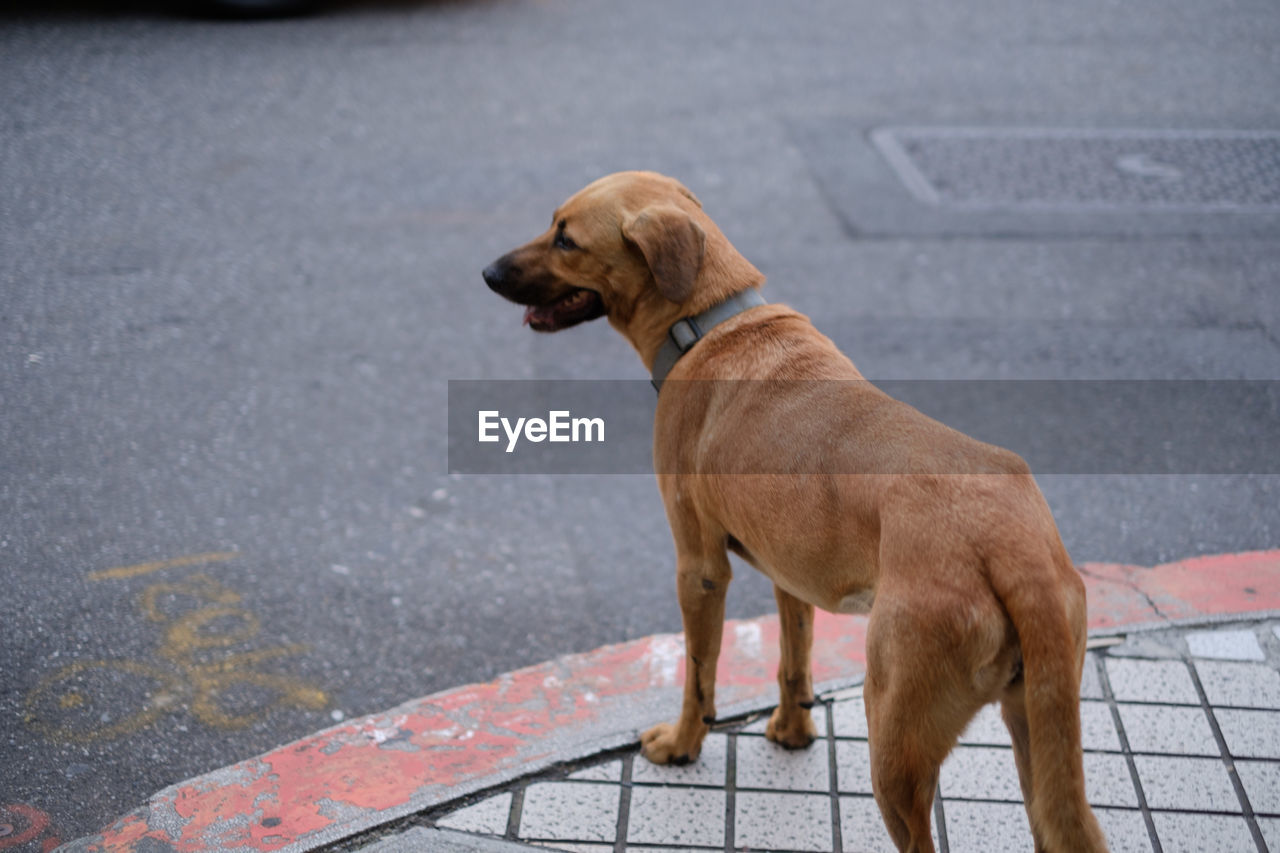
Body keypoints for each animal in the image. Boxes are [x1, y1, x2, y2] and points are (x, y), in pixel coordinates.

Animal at [483, 169, 1105, 845]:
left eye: (565, 239)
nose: (488, 272)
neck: (707, 323)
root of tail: (1014, 550)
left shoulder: (699, 567)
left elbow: (699, 674)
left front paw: (682, 744)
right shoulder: (790, 568)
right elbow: (793, 655)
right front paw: (792, 731)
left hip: (896, 740)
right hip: (1037, 730)